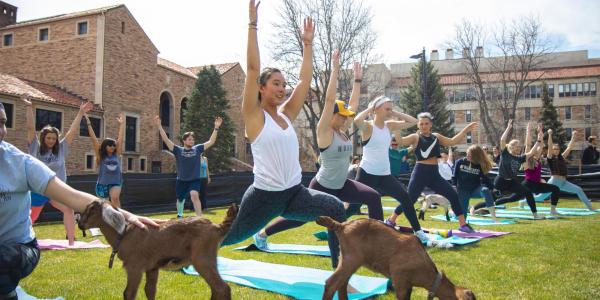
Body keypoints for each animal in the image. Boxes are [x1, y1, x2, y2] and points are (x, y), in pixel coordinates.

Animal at [78, 200, 238, 300]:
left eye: (91, 210)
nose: (79, 224)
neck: (124, 234)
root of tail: (217, 227)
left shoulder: (134, 267)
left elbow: (129, 293)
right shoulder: (152, 268)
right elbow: (150, 290)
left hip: (203, 259)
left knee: (222, 288)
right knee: (217, 289)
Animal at [316, 217, 476, 298]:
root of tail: (342, 225)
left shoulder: (408, 285)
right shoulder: (400, 279)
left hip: (347, 259)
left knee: (341, 284)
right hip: (352, 259)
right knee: (331, 283)